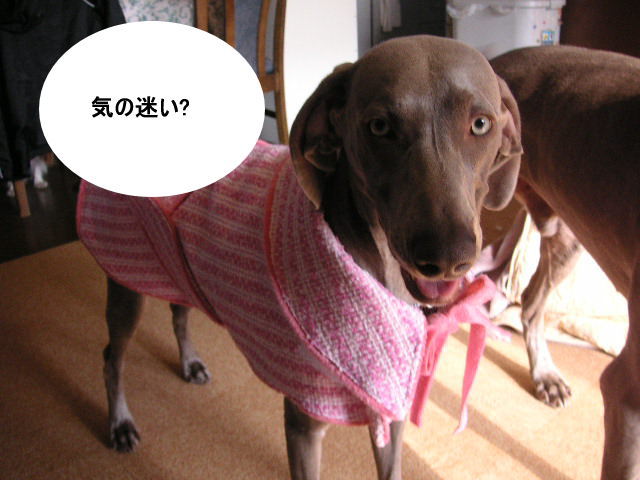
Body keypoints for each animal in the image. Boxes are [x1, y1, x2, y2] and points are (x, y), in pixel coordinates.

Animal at [78, 35, 522, 480]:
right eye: (380, 126)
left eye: (481, 124)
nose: (446, 257)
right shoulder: (304, 421)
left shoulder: (390, 405)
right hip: (127, 267)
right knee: (111, 356)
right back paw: (120, 423)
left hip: (174, 261)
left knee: (180, 310)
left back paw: (190, 362)